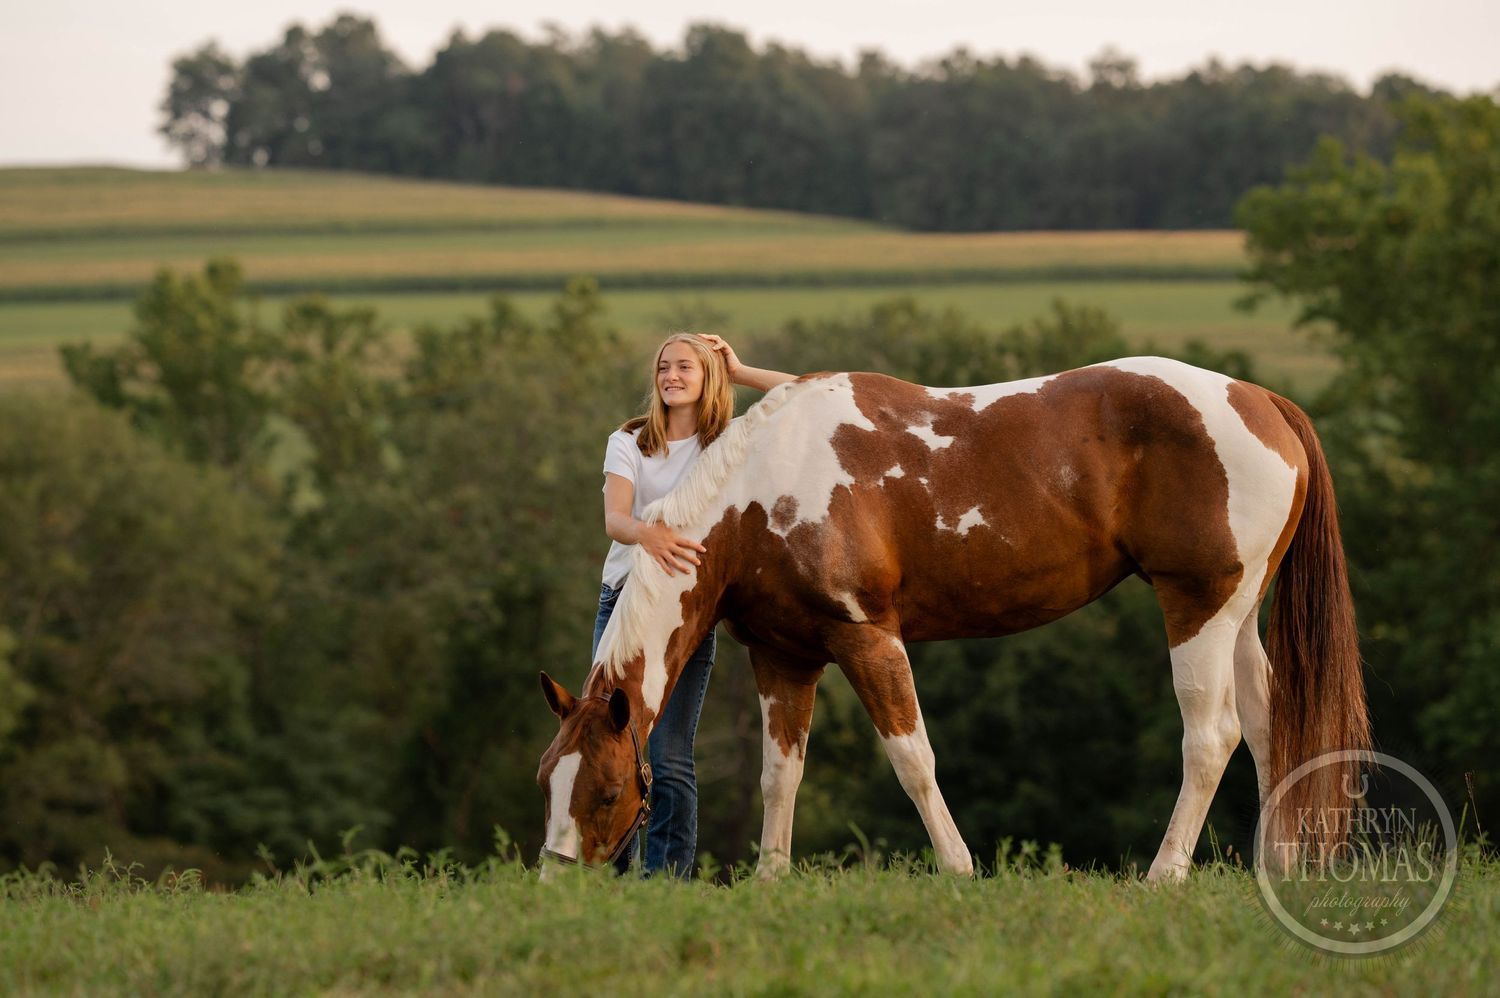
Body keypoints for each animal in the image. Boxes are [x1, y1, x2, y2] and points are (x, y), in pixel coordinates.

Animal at [537, 357, 1370, 880]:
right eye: (548, 778)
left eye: (606, 791)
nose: (558, 882)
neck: (758, 496)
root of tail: (1262, 401)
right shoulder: (784, 655)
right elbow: (781, 773)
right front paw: (772, 880)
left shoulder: (867, 637)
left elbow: (913, 758)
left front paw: (960, 868)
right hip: (1237, 614)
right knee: (1269, 725)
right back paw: (1273, 868)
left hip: (1197, 606)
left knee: (1211, 736)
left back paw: (1165, 875)